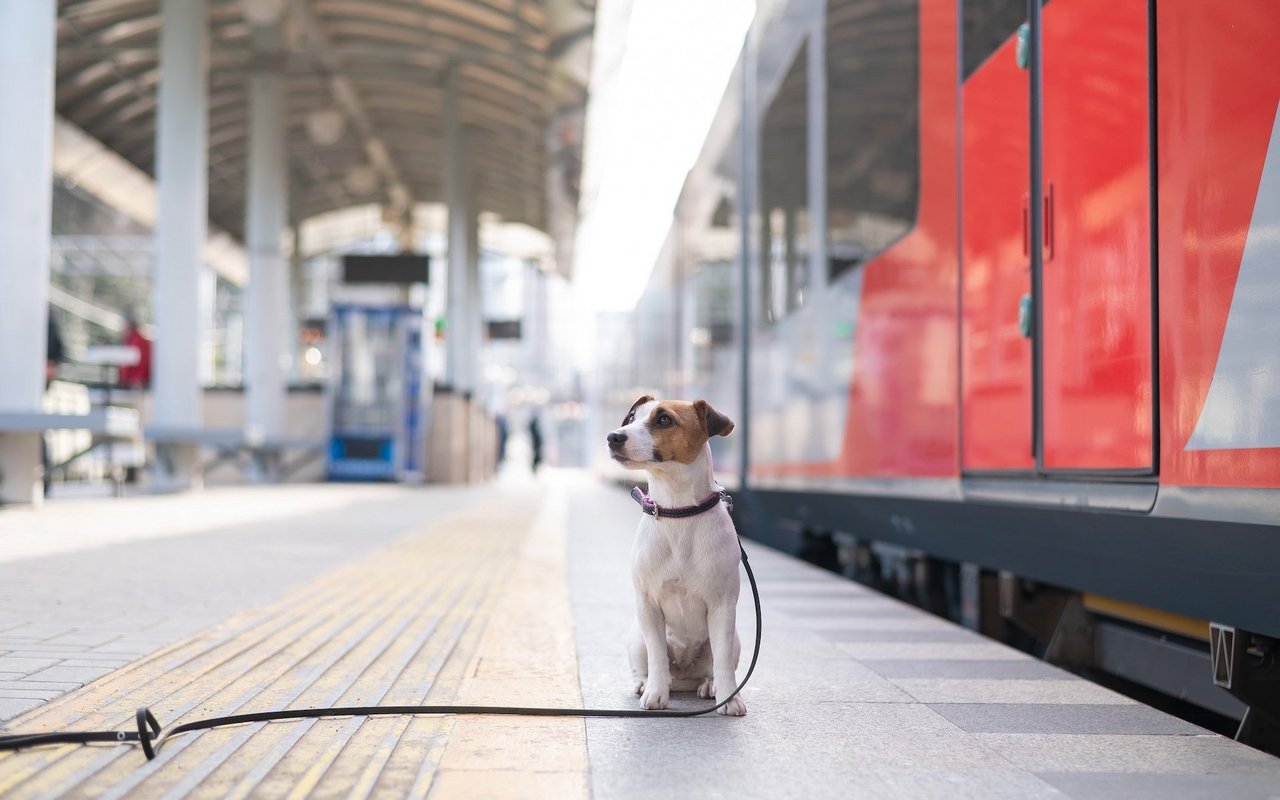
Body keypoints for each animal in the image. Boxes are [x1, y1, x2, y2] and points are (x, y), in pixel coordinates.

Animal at [604, 396, 747, 716]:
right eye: (631, 418)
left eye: (664, 420)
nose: (613, 437)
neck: (677, 510)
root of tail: (683, 675)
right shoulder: (648, 604)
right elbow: (657, 656)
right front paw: (656, 693)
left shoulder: (722, 606)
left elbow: (722, 662)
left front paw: (730, 698)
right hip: (636, 638)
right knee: (648, 663)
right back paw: (644, 683)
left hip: (735, 639)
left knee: (714, 665)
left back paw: (710, 686)